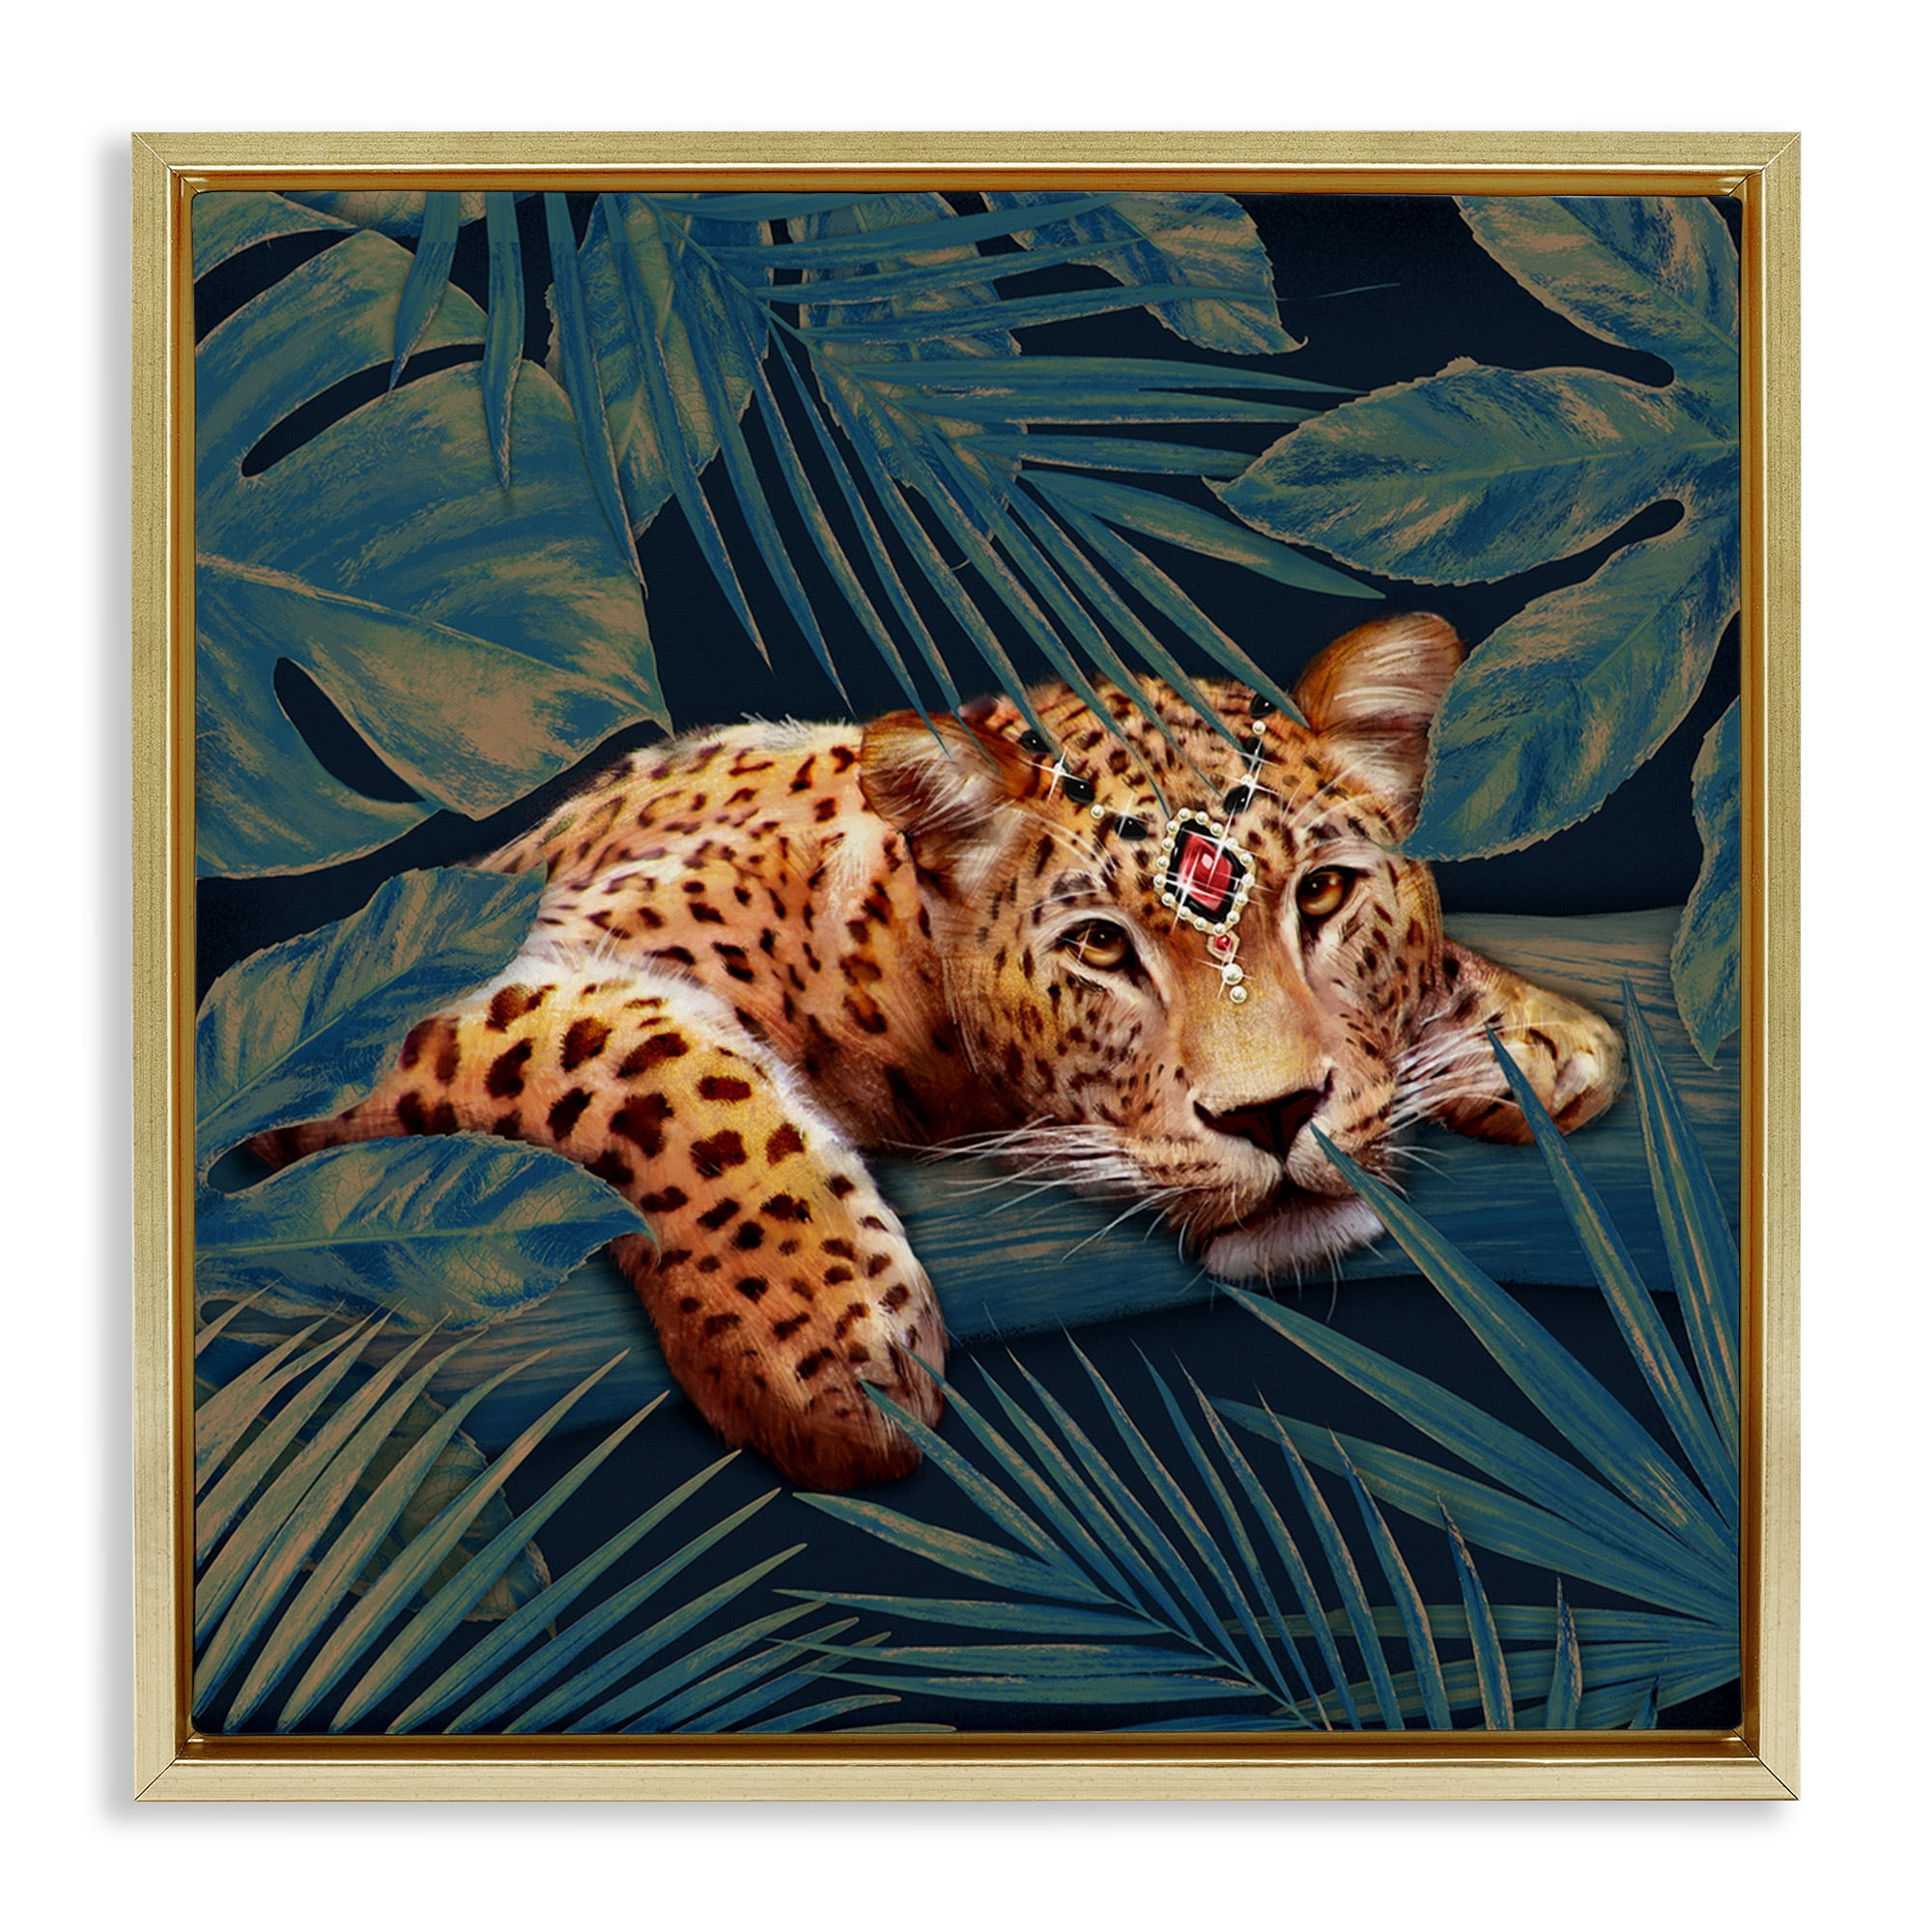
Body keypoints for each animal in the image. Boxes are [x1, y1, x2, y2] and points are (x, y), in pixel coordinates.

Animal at [258, 613, 1623, 1491]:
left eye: (1326, 893)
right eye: (1100, 945)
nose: (1274, 1115)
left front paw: (1528, 1033)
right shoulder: (370, 1008)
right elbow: (641, 1055)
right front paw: (819, 1344)